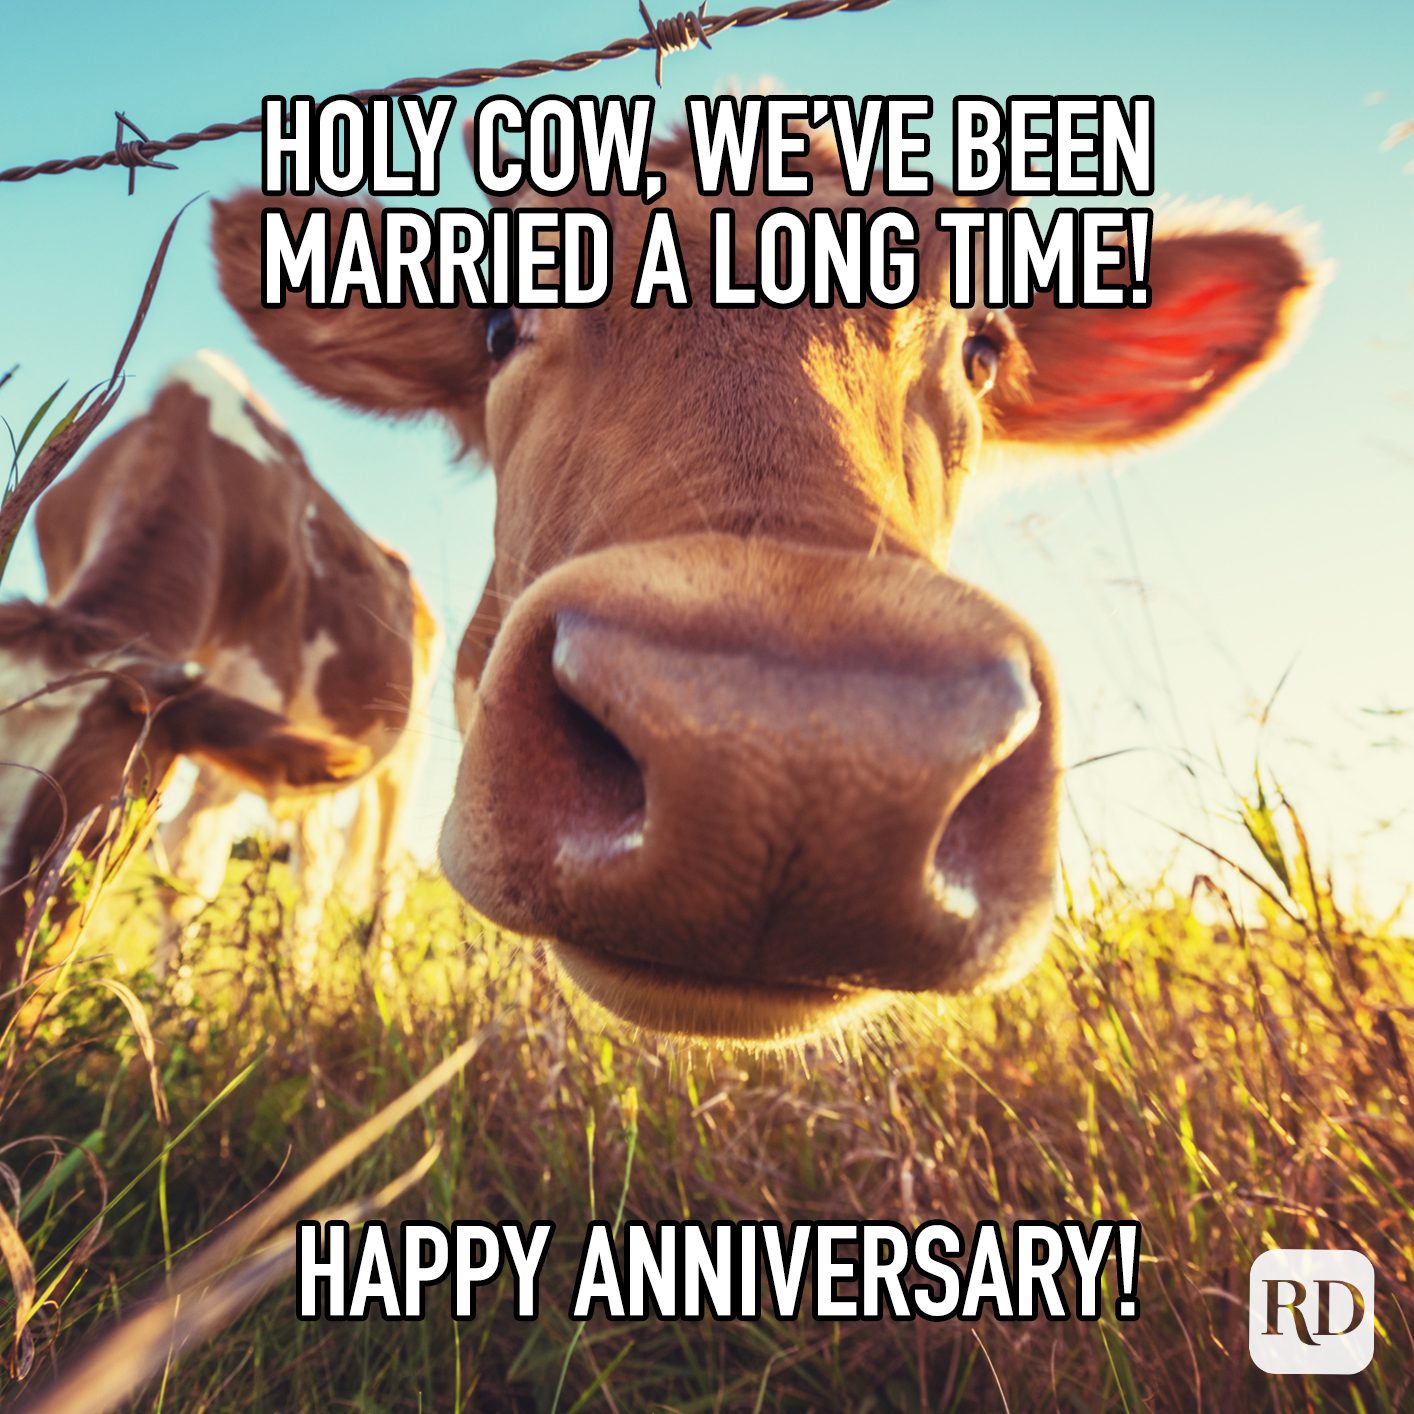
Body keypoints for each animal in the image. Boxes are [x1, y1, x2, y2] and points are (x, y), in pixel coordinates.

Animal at [0, 352, 440, 987]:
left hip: (405, 755)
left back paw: (368, 987)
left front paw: (167, 1003)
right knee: (314, 865)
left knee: (387, 870)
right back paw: (298, 983)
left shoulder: (239, 710)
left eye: (95, 840)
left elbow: (188, 872)